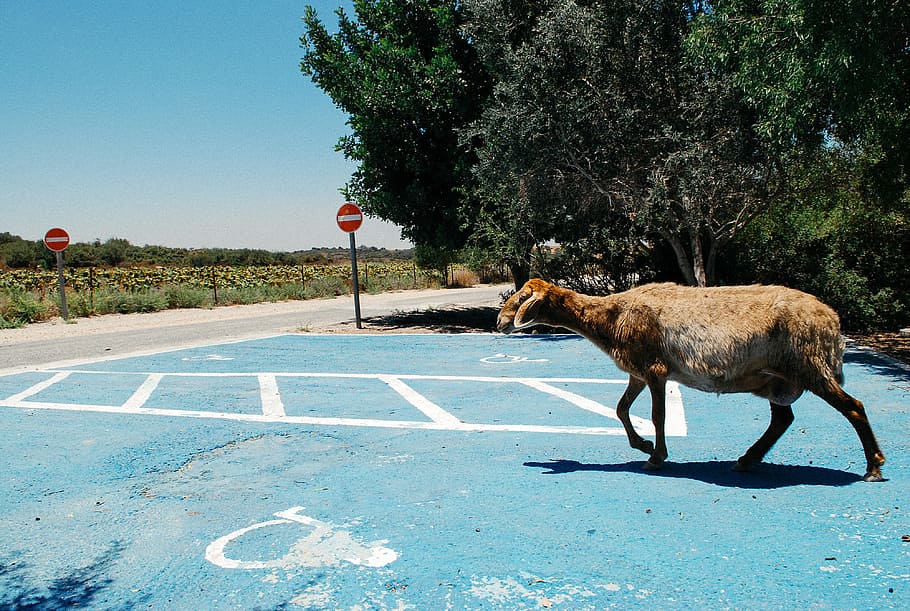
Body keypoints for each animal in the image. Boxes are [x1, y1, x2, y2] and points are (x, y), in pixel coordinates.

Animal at [497, 279, 886, 482]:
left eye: (522, 298)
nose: (499, 322)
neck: (611, 317)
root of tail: (832, 320)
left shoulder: (654, 368)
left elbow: (657, 416)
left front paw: (655, 457)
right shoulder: (637, 370)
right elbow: (621, 409)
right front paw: (643, 446)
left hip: (809, 365)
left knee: (854, 408)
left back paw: (873, 468)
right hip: (778, 379)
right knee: (783, 419)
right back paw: (747, 460)